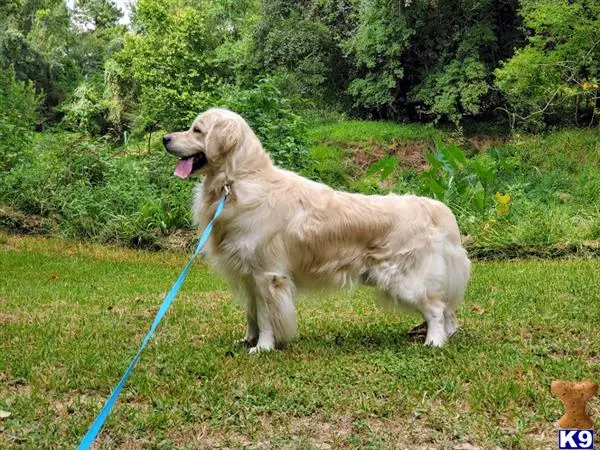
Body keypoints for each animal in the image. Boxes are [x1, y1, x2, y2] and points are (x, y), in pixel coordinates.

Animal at [162, 108, 472, 352]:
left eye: (197, 130)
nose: (165, 138)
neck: (237, 183)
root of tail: (431, 206)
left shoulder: (267, 275)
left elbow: (266, 317)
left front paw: (263, 347)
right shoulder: (248, 276)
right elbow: (252, 314)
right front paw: (248, 340)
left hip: (405, 280)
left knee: (436, 309)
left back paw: (434, 342)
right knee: (446, 312)